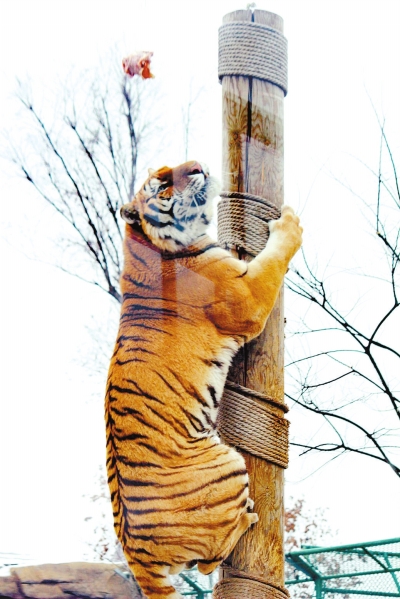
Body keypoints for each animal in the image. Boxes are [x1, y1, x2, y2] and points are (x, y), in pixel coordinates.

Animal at [105, 160, 302, 599]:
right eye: (162, 183)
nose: (197, 167)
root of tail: (134, 556)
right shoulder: (248, 297)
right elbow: (274, 259)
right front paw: (290, 224)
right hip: (227, 463)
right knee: (210, 559)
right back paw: (248, 518)